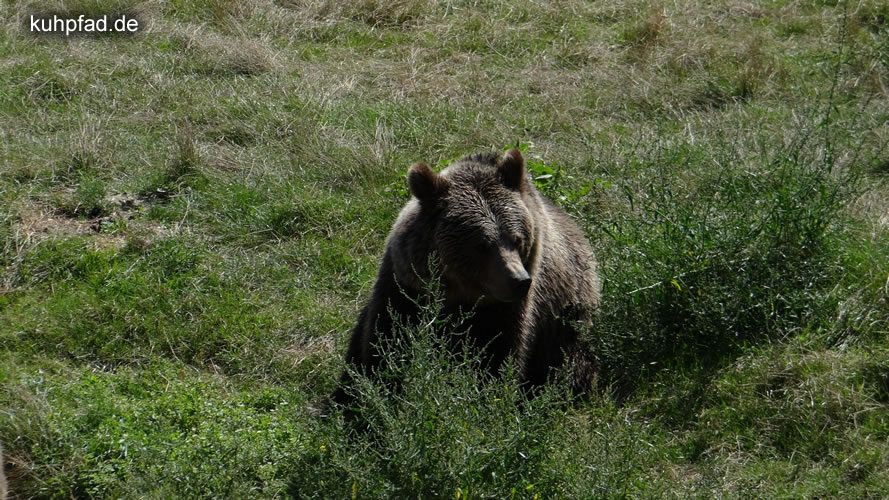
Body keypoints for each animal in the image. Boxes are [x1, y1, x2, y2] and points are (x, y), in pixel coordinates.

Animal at [332, 148, 596, 406]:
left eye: (518, 239)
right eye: (482, 245)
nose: (520, 281)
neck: (459, 295)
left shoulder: (506, 311)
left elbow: (498, 354)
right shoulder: (406, 287)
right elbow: (387, 338)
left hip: (566, 317)